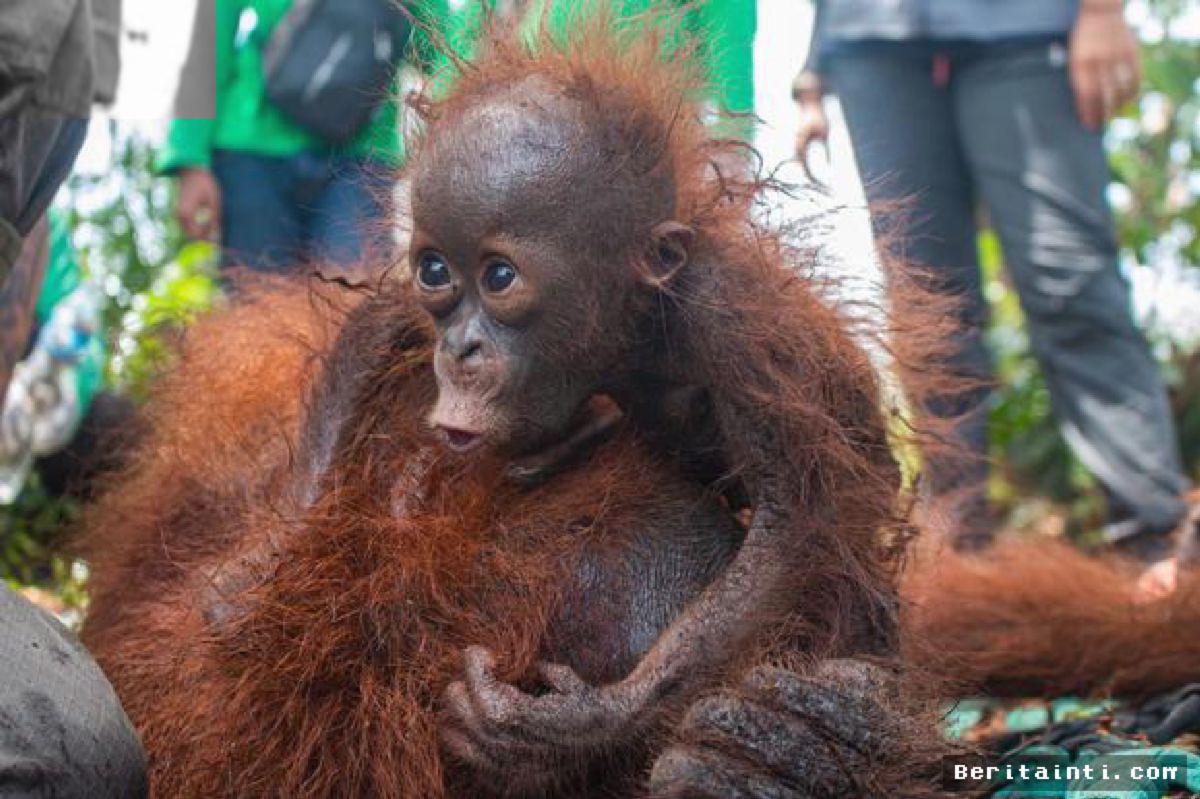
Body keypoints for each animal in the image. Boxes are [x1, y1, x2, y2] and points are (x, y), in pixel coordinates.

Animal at [79, 11, 956, 798]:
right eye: (436, 269)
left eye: (500, 278)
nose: (460, 349)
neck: (622, 331)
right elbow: (377, 323)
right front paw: (266, 551)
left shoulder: (725, 317)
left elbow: (790, 517)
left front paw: (579, 726)